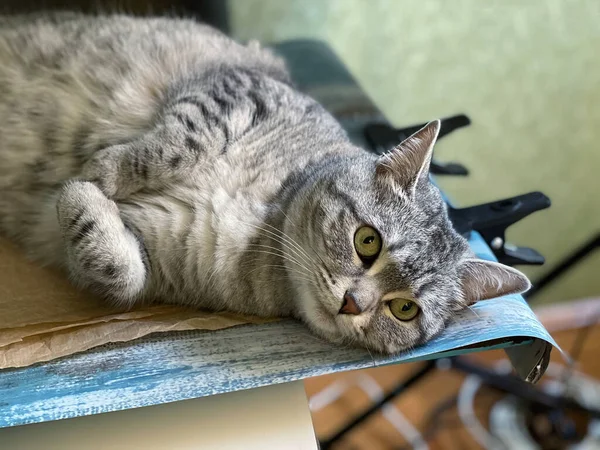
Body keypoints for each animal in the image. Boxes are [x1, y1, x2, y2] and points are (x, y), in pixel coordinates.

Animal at [0, 12, 528, 354]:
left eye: (404, 310)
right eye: (367, 241)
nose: (353, 304)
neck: (263, 222)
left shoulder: (152, 263)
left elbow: (117, 268)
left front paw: (81, 190)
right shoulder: (234, 92)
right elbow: (169, 148)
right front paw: (100, 171)